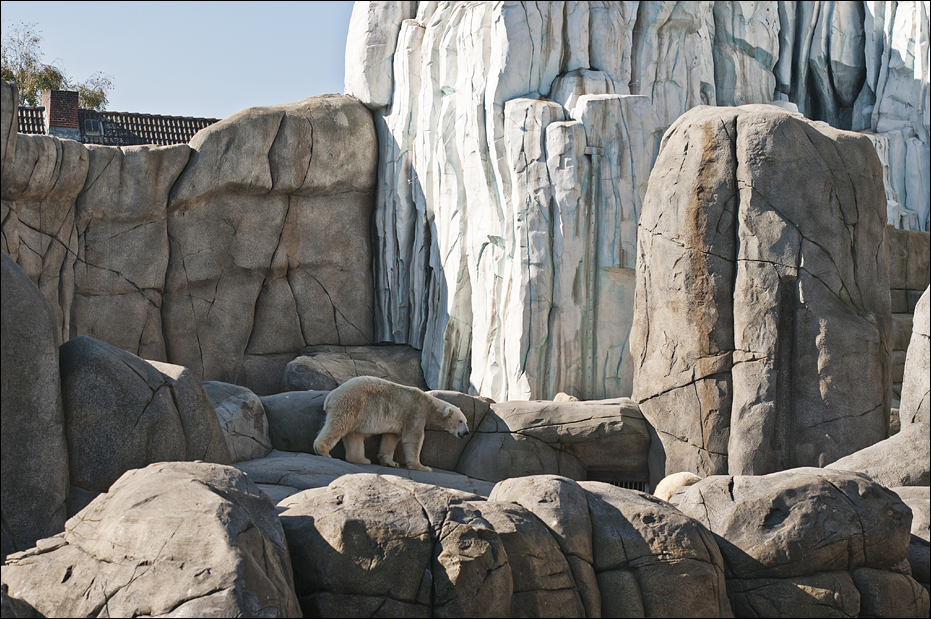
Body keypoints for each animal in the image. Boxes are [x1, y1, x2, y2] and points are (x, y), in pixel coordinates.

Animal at [313, 376, 470, 472]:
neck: (427, 403)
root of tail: (331, 395)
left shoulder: (399, 419)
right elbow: (413, 439)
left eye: (466, 421)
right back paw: (323, 451)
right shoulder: (415, 413)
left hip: (357, 412)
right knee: (338, 425)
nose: (466, 432)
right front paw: (422, 467)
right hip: (352, 403)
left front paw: (391, 462)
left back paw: (362, 459)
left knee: (354, 435)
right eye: (460, 421)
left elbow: (391, 438)